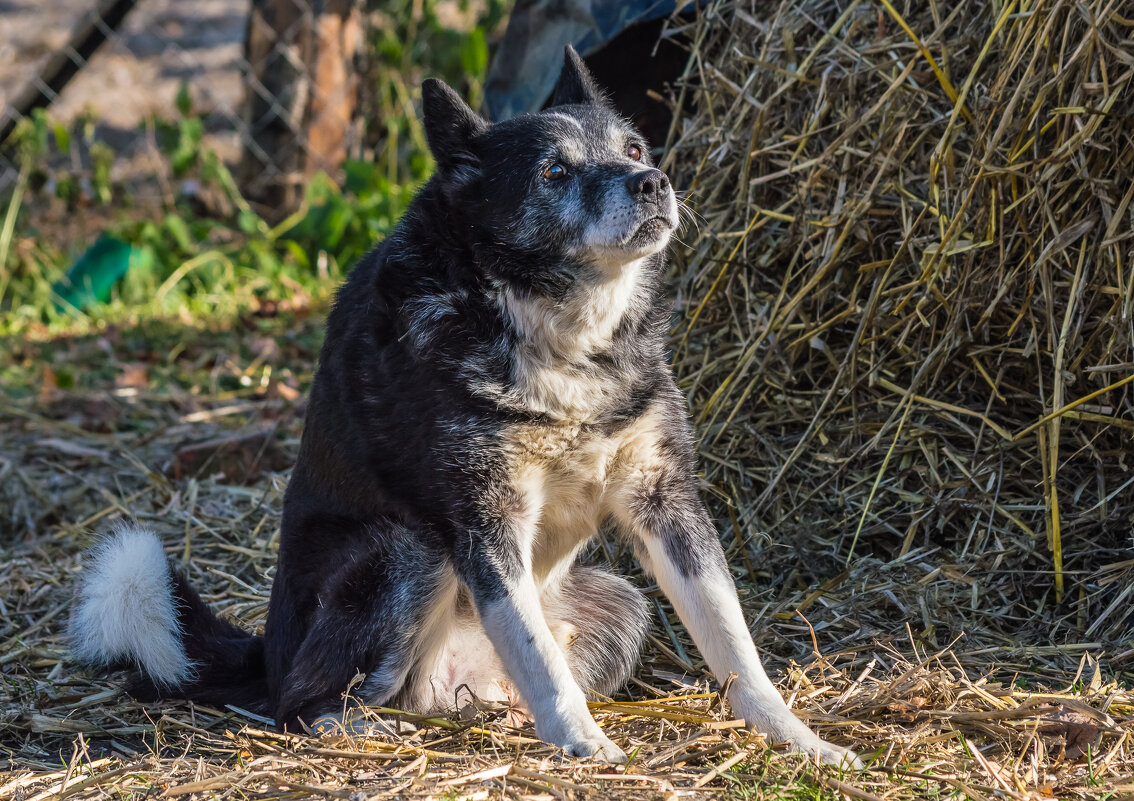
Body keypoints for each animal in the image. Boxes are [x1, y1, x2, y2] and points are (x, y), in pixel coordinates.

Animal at [73, 46, 857, 762]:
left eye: (634, 148)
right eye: (554, 172)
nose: (653, 182)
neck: (556, 329)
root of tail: (267, 651)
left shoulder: (665, 499)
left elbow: (733, 645)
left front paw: (802, 741)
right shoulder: (484, 519)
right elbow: (541, 659)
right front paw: (588, 745)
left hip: (623, 602)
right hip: (409, 550)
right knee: (303, 701)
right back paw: (363, 727)